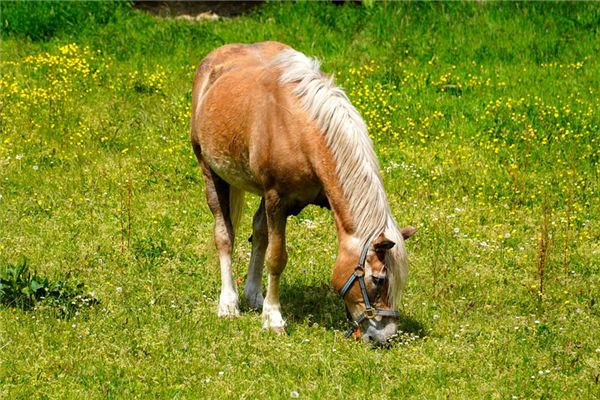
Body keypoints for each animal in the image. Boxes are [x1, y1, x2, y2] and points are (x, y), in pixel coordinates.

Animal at [192, 43, 418, 344]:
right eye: (379, 279)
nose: (387, 336)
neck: (301, 126)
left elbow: (263, 238)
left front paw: (264, 306)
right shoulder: (276, 198)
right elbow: (276, 257)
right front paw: (273, 318)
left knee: (258, 232)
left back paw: (253, 295)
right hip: (211, 174)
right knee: (224, 235)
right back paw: (229, 303)